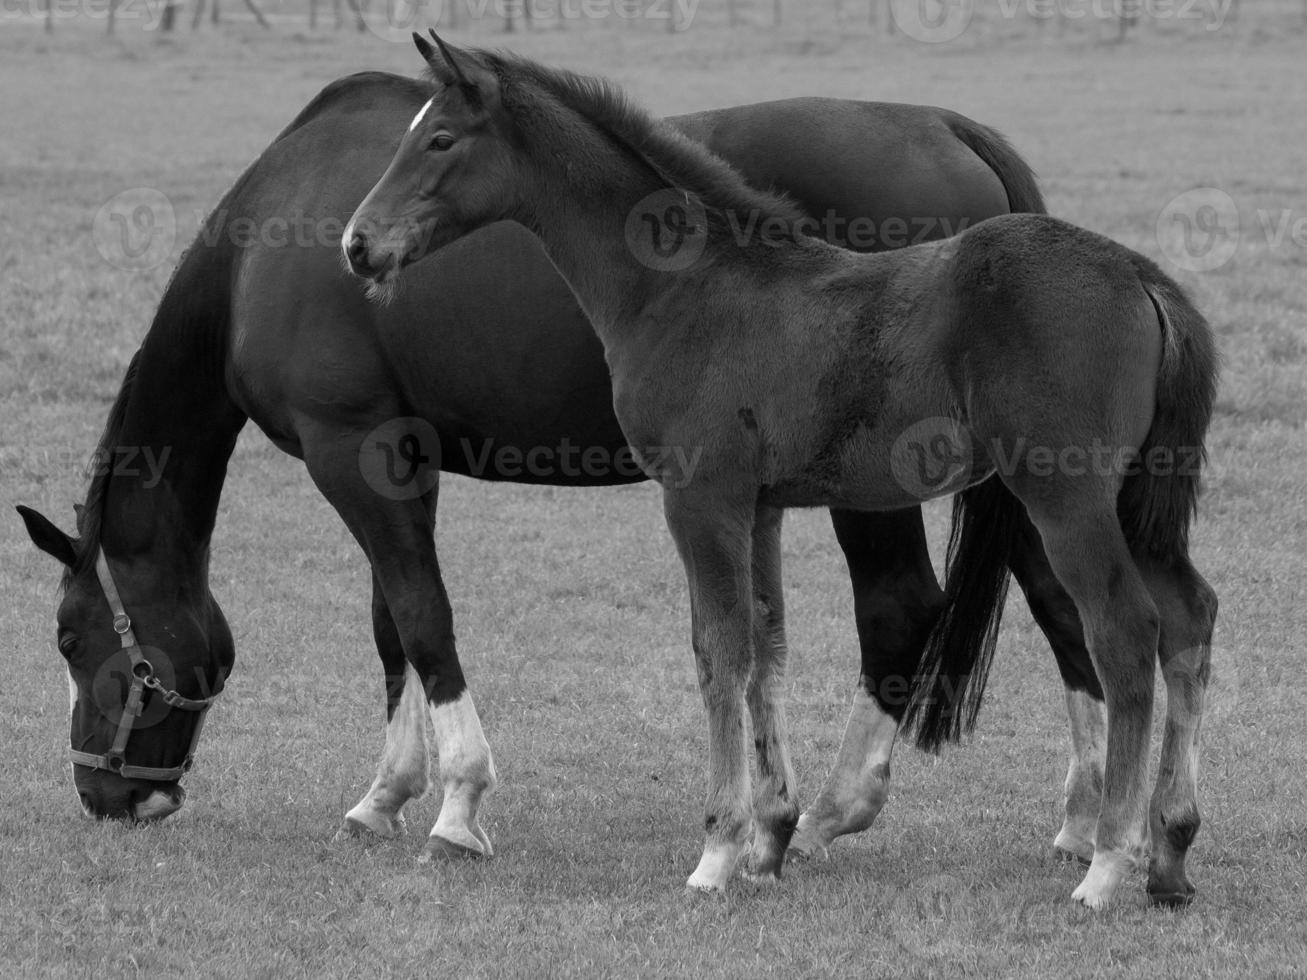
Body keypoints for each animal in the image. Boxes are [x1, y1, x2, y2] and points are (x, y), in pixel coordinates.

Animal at [20, 61, 1103, 883]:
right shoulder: (399, 457)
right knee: (1061, 601)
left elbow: (422, 619)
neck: (267, 246)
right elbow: (390, 629)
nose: (101, 794)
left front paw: (455, 804)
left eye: (72, 638)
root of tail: (948, 127)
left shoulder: (352, 453)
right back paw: (1082, 819)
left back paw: (835, 811)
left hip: (873, 486)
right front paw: (385, 793)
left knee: (900, 610)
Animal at [342, 38, 1218, 914]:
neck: (686, 288)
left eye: (440, 139)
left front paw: (716, 851)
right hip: (1130, 502)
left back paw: (1106, 863)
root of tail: (1139, 272)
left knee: (1123, 631)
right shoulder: (759, 508)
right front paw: (766, 842)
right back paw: (1170, 854)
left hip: (1065, 497)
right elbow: (766, 646)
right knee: (1188, 616)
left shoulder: (699, 499)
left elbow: (718, 651)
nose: (357, 243)